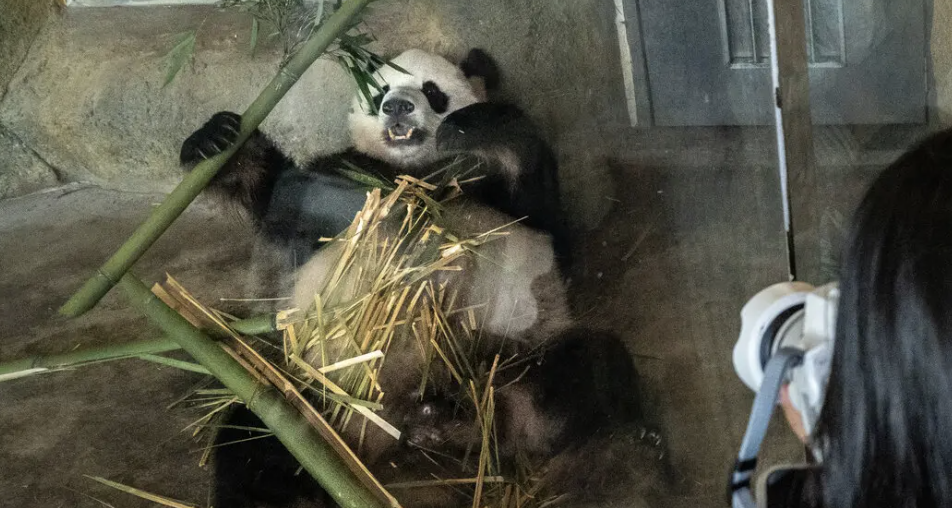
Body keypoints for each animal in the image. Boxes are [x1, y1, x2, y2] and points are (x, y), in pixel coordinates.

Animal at [179, 48, 640, 508]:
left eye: (432, 91)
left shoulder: (501, 200)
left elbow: (548, 231)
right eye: (379, 91)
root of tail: (388, 432)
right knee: (253, 439)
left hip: (510, 356)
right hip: (316, 396)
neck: (415, 172)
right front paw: (216, 141)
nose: (397, 106)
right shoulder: (341, 178)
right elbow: (282, 203)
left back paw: (465, 423)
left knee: (582, 372)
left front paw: (474, 125)